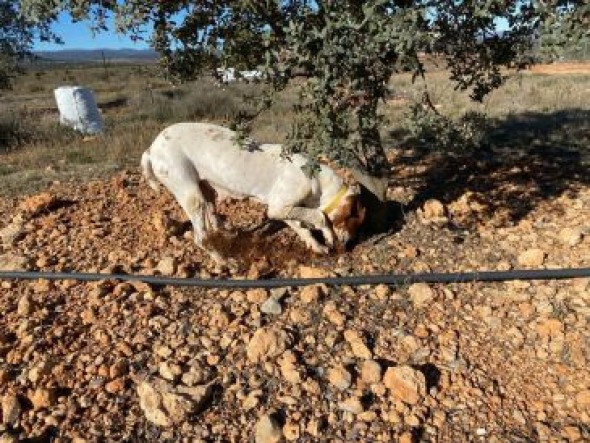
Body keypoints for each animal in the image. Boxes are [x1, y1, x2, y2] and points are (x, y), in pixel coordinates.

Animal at [143, 123, 366, 262]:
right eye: (352, 220)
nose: (349, 245)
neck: (314, 178)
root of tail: (151, 149)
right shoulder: (278, 207)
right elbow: (320, 216)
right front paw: (328, 237)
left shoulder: (282, 209)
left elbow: (302, 227)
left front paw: (317, 246)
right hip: (191, 195)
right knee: (201, 238)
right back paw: (225, 261)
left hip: (206, 189)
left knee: (213, 217)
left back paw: (226, 230)